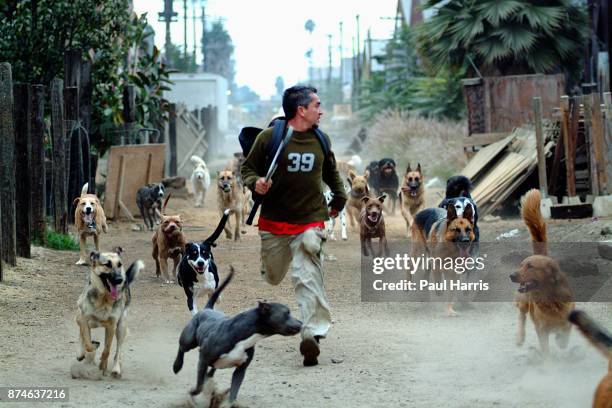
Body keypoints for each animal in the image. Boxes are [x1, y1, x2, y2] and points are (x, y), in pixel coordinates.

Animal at [74, 247, 143, 378]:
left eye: (119, 264)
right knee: (81, 332)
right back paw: (81, 353)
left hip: (121, 327)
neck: (104, 299)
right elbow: (88, 343)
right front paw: (90, 348)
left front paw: (103, 365)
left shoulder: (111, 325)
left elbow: (107, 350)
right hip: (86, 321)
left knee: (118, 351)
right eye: (107, 264)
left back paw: (115, 369)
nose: (120, 280)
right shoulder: (84, 319)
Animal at [173, 266, 302, 404]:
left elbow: (233, 391)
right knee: (182, 348)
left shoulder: (240, 370)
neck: (243, 337)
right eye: (286, 313)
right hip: (189, 340)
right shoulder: (203, 359)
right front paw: (192, 393)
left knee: (210, 371)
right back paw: (177, 366)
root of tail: (208, 309)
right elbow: (199, 386)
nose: (301, 323)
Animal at [510, 190, 576, 356]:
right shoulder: (541, 329)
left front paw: (560, 340)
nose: (511, 275)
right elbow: (546, 349)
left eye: (530, 266)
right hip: (523, 300)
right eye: (521, 265)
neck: (550, 299)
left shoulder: (568, 321)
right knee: (521, 316)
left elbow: (564, 338)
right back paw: (520, 337)